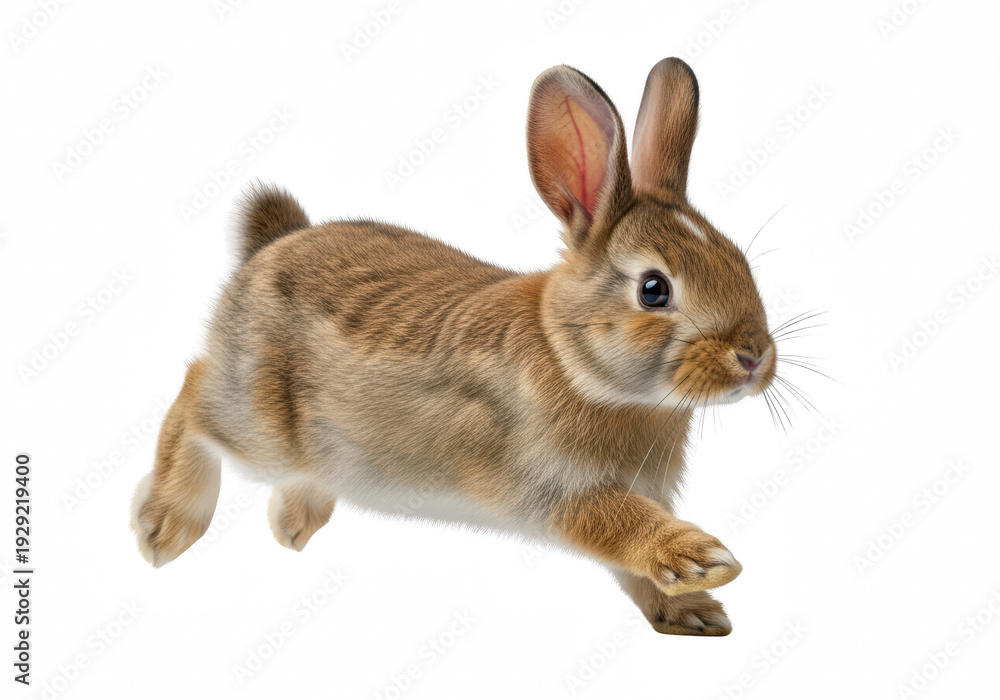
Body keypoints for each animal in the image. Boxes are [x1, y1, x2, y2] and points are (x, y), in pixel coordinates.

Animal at [131, 57, 778, 637]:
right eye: (653, 289)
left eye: (739, 261)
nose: (753, 359)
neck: (573, 360)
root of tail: (269, 247)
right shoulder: (556, 486)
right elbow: (620, 526)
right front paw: (705, 561)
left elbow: (632, 570)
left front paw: (693, 612)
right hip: (260, 424)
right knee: (192, 396)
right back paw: (163, 530)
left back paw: (296, 521)